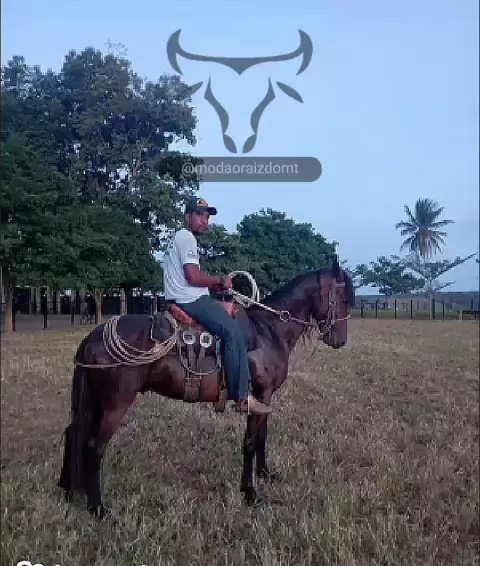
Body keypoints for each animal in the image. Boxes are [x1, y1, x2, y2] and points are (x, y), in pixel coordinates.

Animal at [57, 256, 355, 519]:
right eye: (343, 299)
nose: (340, 340)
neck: (269, 330)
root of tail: (93, 336)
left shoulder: (264, 398)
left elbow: (261, 437)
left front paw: (265, 474)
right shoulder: (258, 396)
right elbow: (250, 442)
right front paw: (250, 492)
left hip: (96, 402)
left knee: (74, 433)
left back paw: (68, 489)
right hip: (115, 404)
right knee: (94, 447)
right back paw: (98, 508)